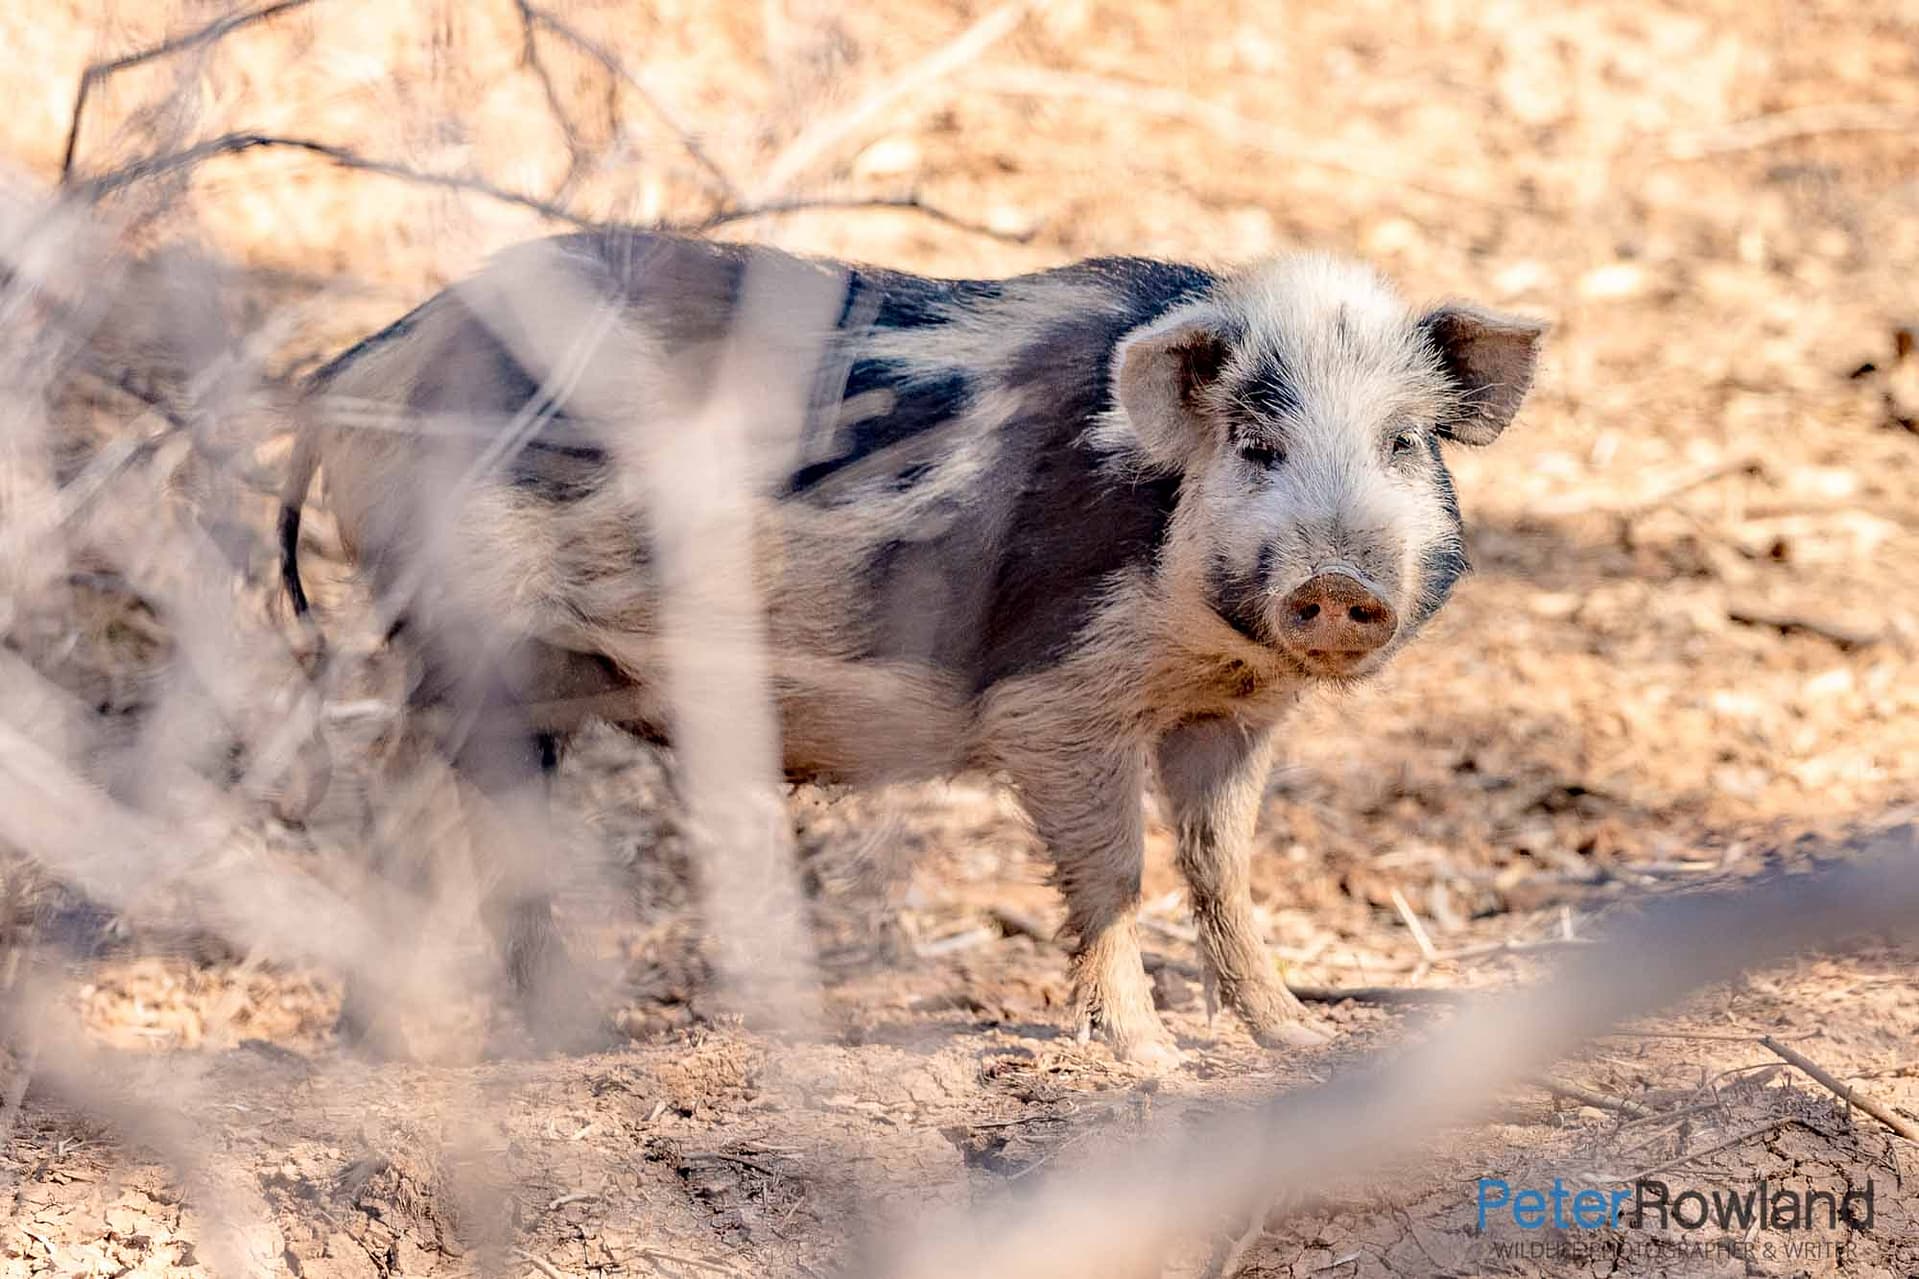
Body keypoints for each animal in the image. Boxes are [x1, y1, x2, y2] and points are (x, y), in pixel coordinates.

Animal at [281, 232, 1543, 1065]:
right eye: (1253, 442)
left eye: (1400, 443)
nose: (1337, 584)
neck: (1193, 636)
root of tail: (355, 367)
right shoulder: (1055, 697)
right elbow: (1115, 873)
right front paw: (1148, 1060)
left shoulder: (1228, 716)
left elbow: (1220, 868)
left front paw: (1293, 1036)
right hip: (474, 633)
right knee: (457, 825)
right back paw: (551, 1045)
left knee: (428, 815)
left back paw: (418, 1042)